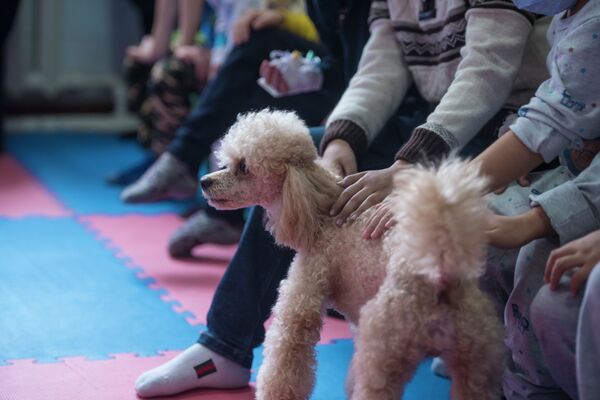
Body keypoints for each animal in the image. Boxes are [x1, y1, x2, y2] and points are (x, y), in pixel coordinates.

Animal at [201, 109, 505, 400]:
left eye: (243, 167)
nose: (205, 181)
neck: (320, 209)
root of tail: (439, 272)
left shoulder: (303, 297)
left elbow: (287, 353)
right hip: (475, 361)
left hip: (383, 348)